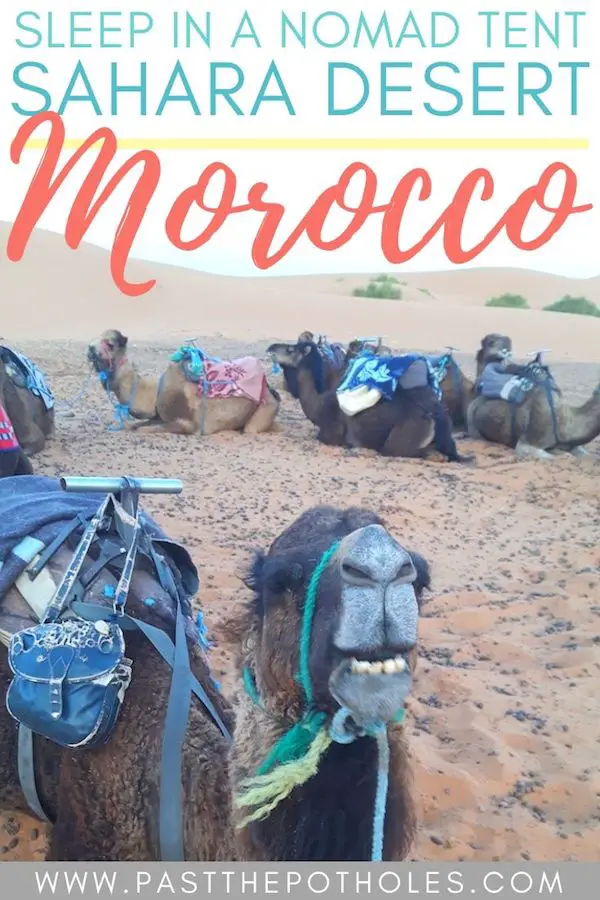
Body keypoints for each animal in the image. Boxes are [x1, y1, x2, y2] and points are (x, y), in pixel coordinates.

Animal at [87, 334, 282, 440]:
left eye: (110, 343)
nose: (90, 348)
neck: (155, 392)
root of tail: (269, 388)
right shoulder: (158, 416)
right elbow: (137, 425)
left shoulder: (187, 423)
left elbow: (144, 429)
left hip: (266, 407)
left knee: (251, 429)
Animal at [268, 340, 474, 464]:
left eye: (291, 349)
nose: (270, 348)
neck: (317, 404)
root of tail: (436, 416)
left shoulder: (330, 433)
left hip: (399, 441)